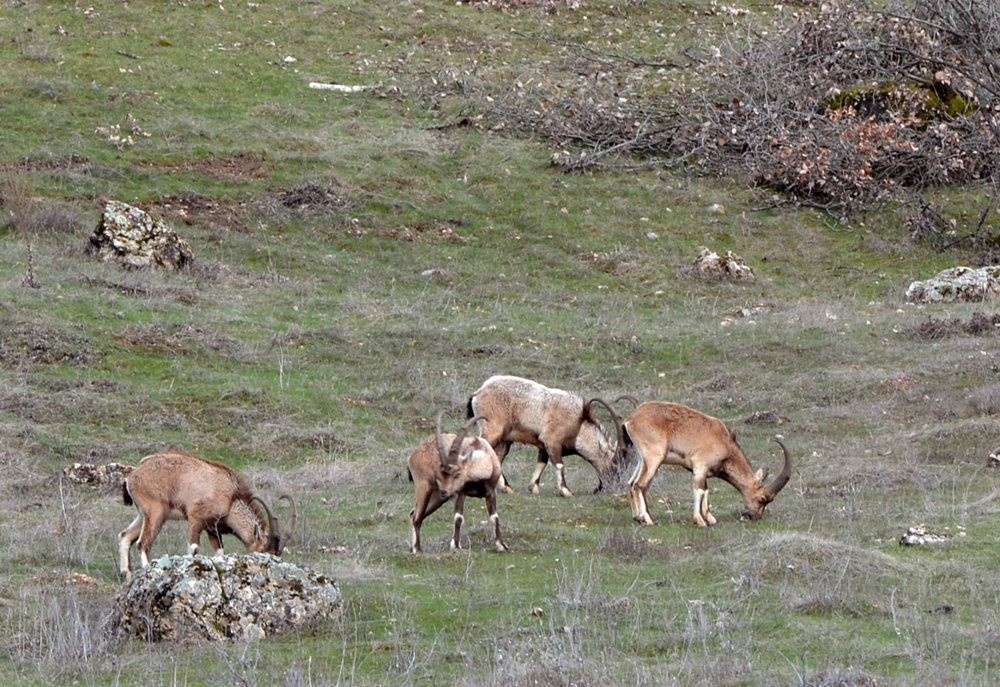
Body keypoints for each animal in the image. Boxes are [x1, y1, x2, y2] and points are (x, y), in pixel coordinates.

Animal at [118, 451, 296, 579]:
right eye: (263, 552)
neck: (231, 498)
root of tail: (133, 475)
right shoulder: (195, 518)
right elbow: (193, 548)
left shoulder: (212, 528)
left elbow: (219, 552)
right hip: (156, 512)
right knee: (143, 543)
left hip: (143, 515)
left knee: (125, 536)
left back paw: (127, 575)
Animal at [407, 413, 507, 553]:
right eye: (439, 475)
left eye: (457, 474)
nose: (444, 491)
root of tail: (413, 455)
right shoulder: (460, 493)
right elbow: (458, 517)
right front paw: (456, 545)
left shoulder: (490, 492)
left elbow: (494, 517)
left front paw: (501, 545)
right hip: (424, 487)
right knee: (417, 517)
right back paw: (417, 550)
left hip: (437, 497)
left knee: (413, 514)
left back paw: (414, 548)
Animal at [467, 374, 625, 496]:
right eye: (614, 464)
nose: (609, 486)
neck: (578, 424)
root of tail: (478, 393)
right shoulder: (552, 441)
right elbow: (559, 464)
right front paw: (566, 491)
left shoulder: (543, 445)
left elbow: (542, 463)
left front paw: (534, 488)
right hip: (493, 430)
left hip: (505, 440)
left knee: (498, 457)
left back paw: (507, 488)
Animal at [623, 402, 792, 527]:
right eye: (763, 499)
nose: (755, 516)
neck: (724, 442)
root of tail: (630, 420)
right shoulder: (700, 466)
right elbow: (699, 490)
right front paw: (700, 521)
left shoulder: (702, 471)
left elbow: (706, 491)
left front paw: (710, 518)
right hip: (654, 457)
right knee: (639, 484)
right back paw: (648, 519)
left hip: (642, 459)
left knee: (631, 483)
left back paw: (637, 517)